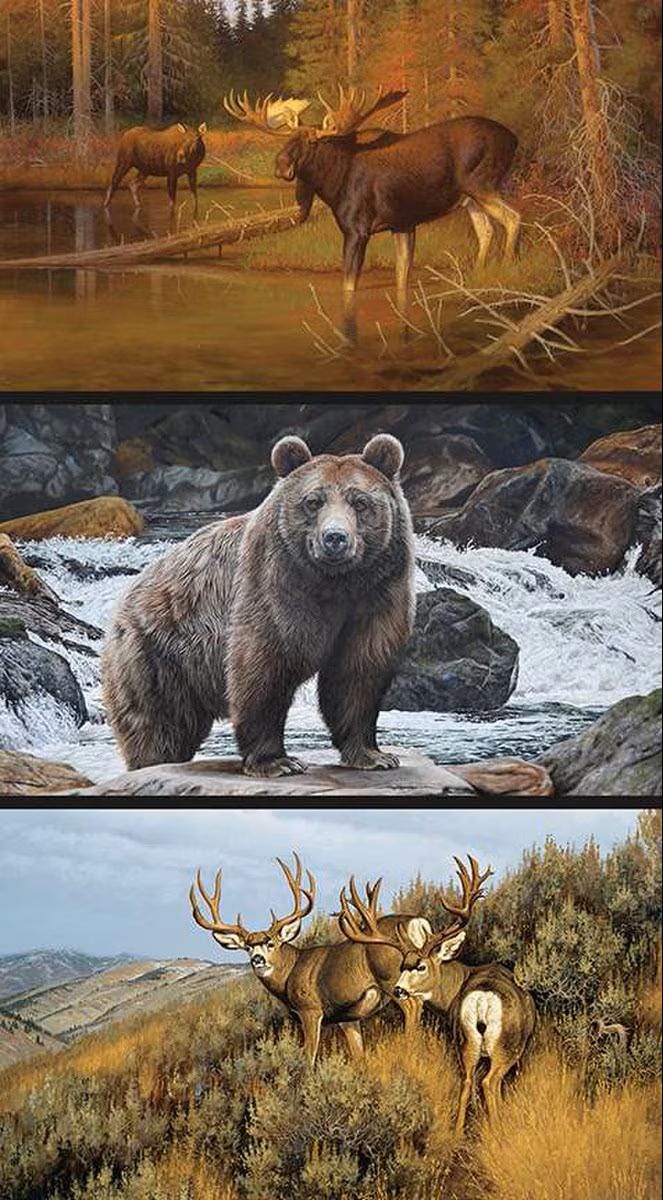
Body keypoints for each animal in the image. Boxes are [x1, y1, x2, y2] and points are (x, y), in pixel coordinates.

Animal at [101, 433, 415, 778]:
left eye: (360, 502)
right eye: (313, 502)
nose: (335, 538)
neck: (337, 583)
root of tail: (124, 600)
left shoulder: (378, 595)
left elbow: (358, 671)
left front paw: (373, 755)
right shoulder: (275, 584)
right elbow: (264, 665)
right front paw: (278, 761)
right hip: (157, 655)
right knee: (159, 725)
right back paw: (152, 762)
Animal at [189, 852, 434, 1064]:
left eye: (271, 943)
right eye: (248, 947)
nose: (257, 959)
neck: (291, 972)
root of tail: (418, 923)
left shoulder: (310, 1010)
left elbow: (308, 1057)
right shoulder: (348, 1018)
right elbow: (358, 1053)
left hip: (392, 979)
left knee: (413, 1006)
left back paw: (410, 1048)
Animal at [223, 85, 520, 336]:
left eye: (312, 142)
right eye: (287, 139)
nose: (281, 165)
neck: (334, 182)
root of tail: (514, 138)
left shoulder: (357, 229)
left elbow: (349, 284)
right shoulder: (403, 224)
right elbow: (401, 278)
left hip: (481, 184)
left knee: (513, 218)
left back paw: (506, 273)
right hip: (470, 199)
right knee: (486, 231)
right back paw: (475, 282)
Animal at [339, 854, 536, 1133]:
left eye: (419, 966)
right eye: (403, 965)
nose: (398, 990)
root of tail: (483, 1000)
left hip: (467, 1041)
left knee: (467, 1080)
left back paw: (458, 1130)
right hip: (504, 1047)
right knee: (488, 1082)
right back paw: (495, 1130)